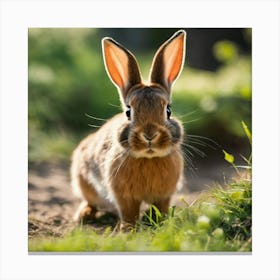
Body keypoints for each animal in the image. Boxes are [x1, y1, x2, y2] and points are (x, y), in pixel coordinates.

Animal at [71, 29, 187, 230]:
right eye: (128, 112)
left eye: (168, 111)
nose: (150, 135)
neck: (148, 159)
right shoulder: (124, 196)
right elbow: (128, 213)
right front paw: (128, 229)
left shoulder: (164, 196)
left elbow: (161, 207)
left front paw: (160, 222)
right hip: (83, 180)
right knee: (91, 202)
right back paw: (83, 215)